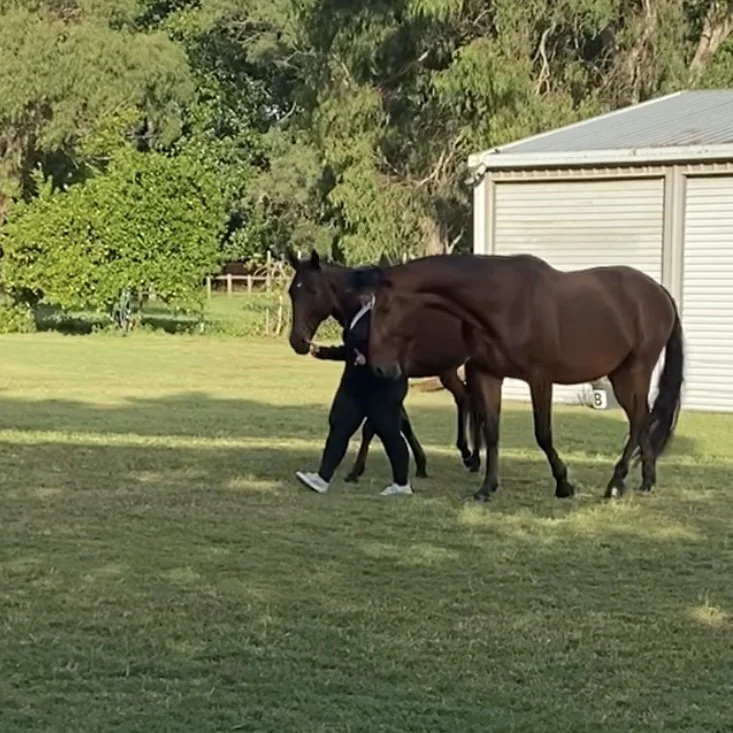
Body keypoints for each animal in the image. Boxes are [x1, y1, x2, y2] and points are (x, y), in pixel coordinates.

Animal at [285, 248, 482, 482]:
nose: (297, 341)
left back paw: (475, 457)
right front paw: (421, 464)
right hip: (447, 369)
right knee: (464, 398)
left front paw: (356, 470)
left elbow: (372, 426)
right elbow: (402, 422)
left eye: (313, 291)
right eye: (291, 292)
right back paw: (467, 454)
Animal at [349, 253, 684, 502]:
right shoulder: (488, 375)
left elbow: (543, 434)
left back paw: (615, 483)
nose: (379, 367)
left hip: (635, 370)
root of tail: (660, 293)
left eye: (385, 307)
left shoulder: (540, 378)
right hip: (621, 374)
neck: (502, 301)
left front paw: (563, 484)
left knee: (640, 420)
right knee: (644, 418)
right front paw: (486, 488)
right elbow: (492, 431)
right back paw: (645, 480)